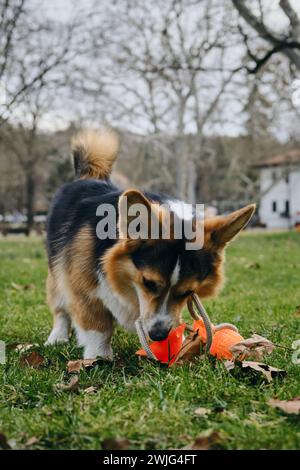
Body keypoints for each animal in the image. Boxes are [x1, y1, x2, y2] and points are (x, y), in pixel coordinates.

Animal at [45, 127, 255, 356]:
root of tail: (87, 177)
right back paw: (57, 338)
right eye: (149, 283)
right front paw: (99, 357)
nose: (158, 335)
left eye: (188, 292)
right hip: (57, 272)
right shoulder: (84, 288)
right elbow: (98, 328)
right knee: (60, 307)